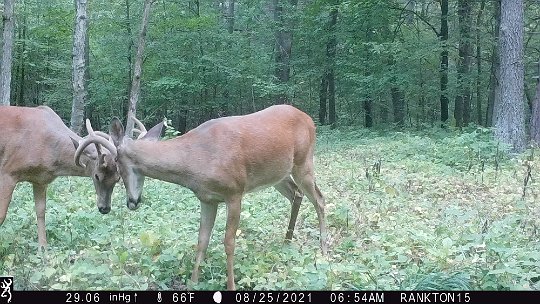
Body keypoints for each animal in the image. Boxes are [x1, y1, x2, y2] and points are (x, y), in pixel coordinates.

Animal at [0, 105, 120, 248]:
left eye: (118, 179)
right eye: (97, 176)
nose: (105, 208)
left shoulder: (40, 180)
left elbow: (41, 212)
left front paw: (43, 249)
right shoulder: (7, 172)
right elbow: (1, 215)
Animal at [77, 104, 326, 290]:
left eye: (116, 168)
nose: (132, 202)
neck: (195, 160)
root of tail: (308, 118)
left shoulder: (235, 192)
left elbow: (228, 242)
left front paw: (231, 286)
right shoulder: (207, 199)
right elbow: (202, 240)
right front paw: (193, 282)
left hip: (304, 162)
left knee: (320, 199)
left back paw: (323, 249)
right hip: (278, 174)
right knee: (296, 194)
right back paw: (287, 243)